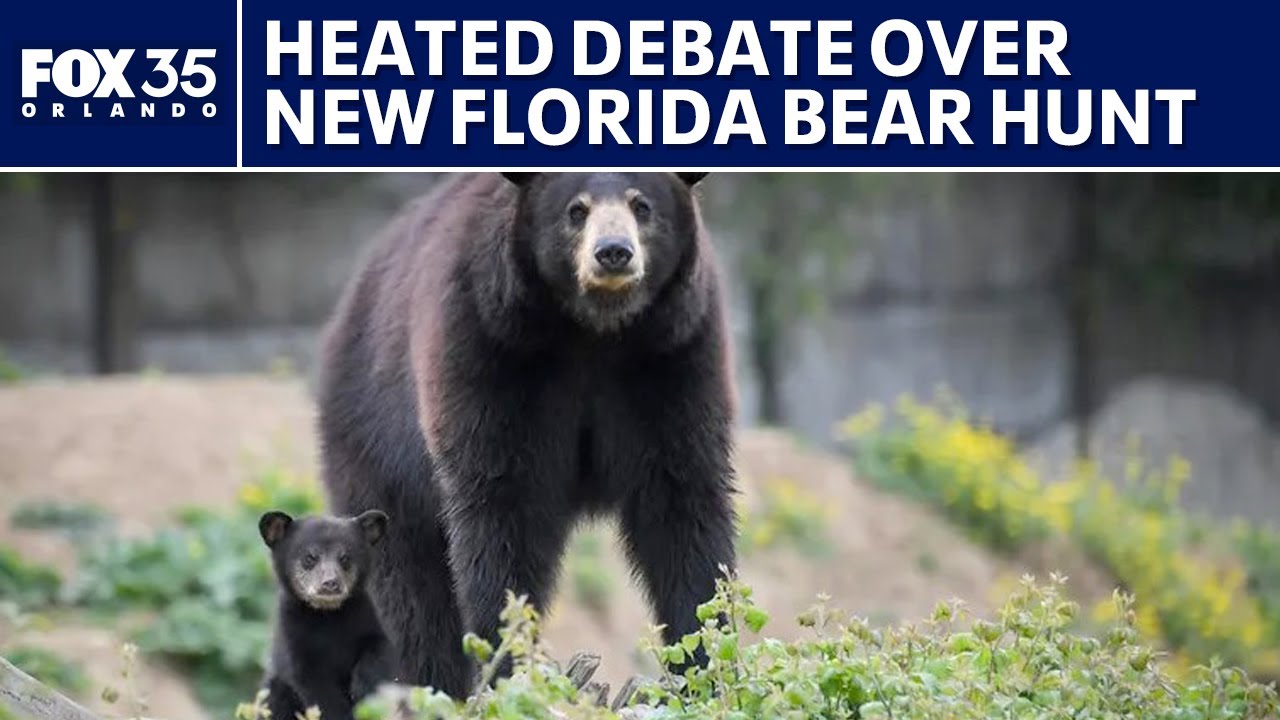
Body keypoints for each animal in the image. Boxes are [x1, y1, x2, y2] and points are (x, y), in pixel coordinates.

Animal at [258, 509, 397, 720]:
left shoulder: (364, 618)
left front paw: (362, 690)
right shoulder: (295, 642)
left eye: (345, 558)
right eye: (310, 558)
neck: (326, 615)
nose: (330, 583)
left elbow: (378, 647)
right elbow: (318, 690)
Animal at [316, 172, 738, 698]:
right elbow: (501, 504)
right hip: (376, 444)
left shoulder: (675, 349)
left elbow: (683, 500)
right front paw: (506, 659)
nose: (613, 252)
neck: (595, 329)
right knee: (407, 589)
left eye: (642, 205)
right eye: (576, 210)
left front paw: (706, 660)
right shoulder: (490, 342)